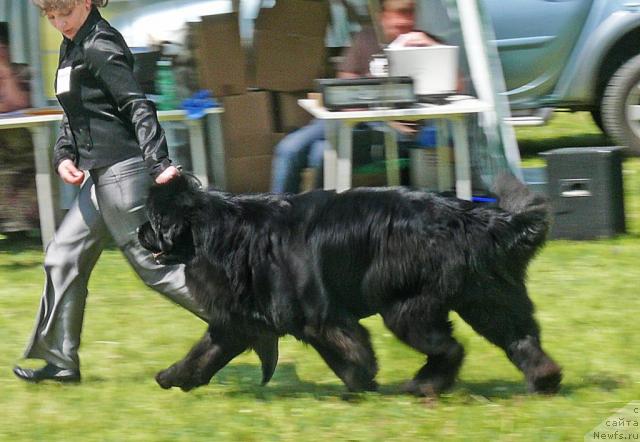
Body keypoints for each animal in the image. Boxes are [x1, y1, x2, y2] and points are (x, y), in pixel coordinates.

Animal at [139, 174, 560, 396]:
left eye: (156, 221)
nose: (139, 231)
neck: (225, 235)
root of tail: (476, 219)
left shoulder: (319, 317)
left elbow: (347, 351)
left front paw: (362, 381)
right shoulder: (236, 322)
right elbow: (203, 353)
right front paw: (172, 377)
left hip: (407, 306)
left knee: (450, 347)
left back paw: (424, 384)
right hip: (488, 297)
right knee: (520, 337)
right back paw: (545, 380)